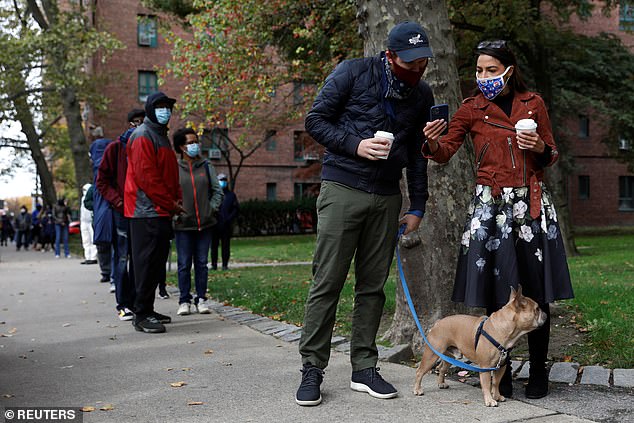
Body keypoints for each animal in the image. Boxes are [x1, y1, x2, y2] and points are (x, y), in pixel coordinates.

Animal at [414, 284, 544, 408]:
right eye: (537, 309)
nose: (545, 313)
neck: (502, 329)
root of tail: (438, 323)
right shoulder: (485, 367)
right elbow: (486, 384)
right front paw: (490, 401)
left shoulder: (501, 366)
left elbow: (496, 382)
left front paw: (497, 396)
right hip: (431, 355)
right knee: (420, 371)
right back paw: (417, 390)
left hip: (449, 356)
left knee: (441, 368)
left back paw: (441, 383)